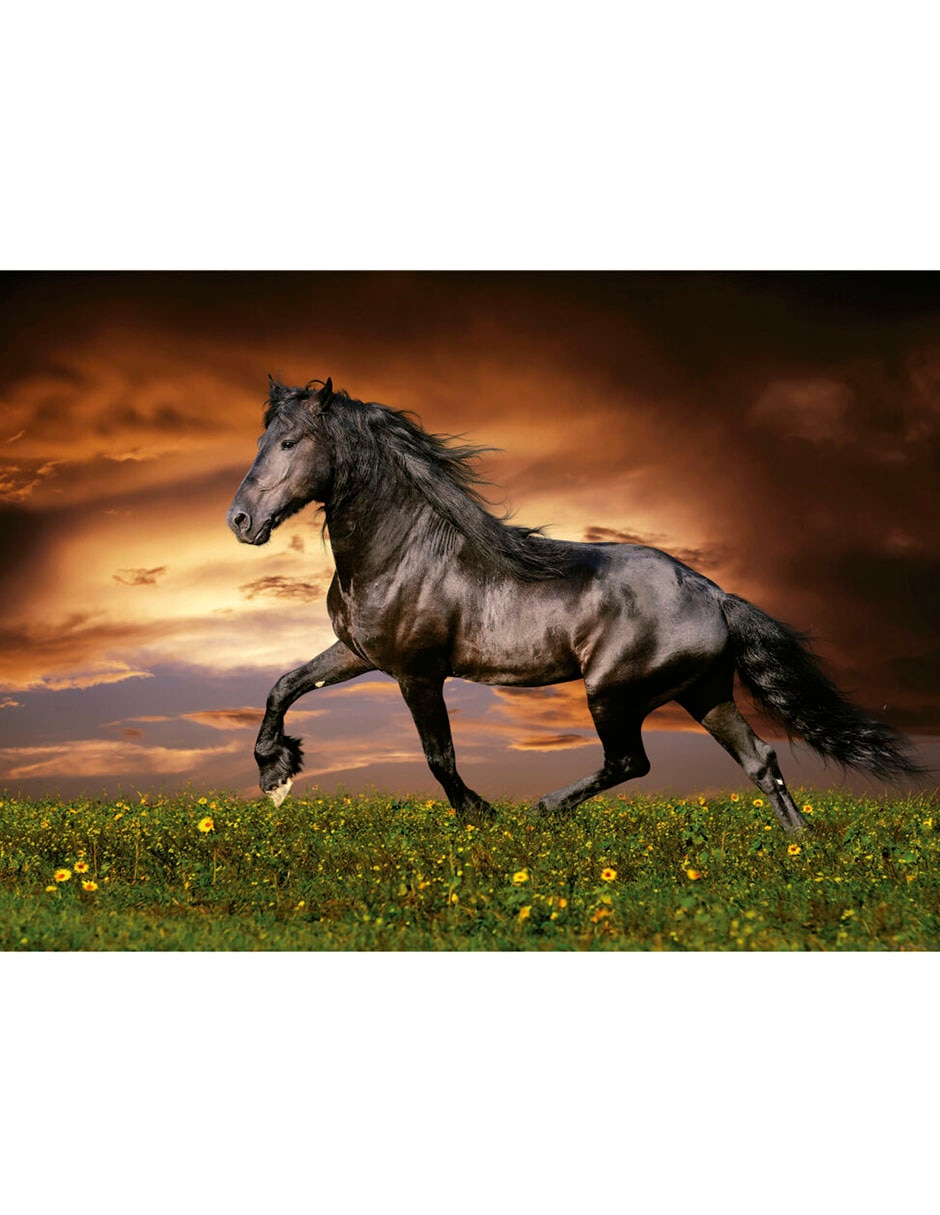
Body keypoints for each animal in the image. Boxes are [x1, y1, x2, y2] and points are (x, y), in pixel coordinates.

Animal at [226, 376, 919, 833]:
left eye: (289, 442)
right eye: (262, 438)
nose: (240, 521)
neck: (401, 552)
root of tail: (715, 594)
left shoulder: (417, 673)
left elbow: (439, 756)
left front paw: (483, 815)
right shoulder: (358, 652)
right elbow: (284, 685)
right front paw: (275, 773)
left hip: (613, 692)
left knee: (631, 761)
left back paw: (545, 808)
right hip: (704, 692)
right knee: (761, 760)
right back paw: (799, 848)